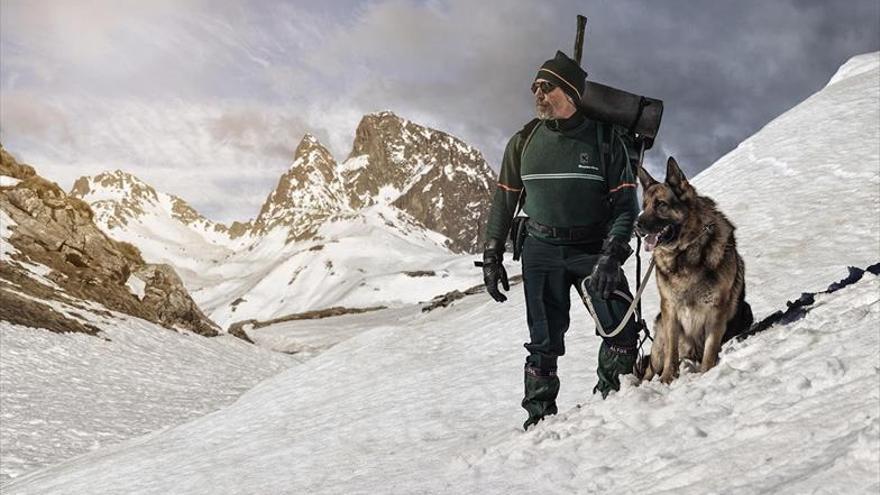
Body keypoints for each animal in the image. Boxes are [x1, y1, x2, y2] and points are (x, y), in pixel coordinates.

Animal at [636, 158, 752, 384]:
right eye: (643, 207)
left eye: (661, 204)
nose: (637, 225)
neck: (684, 251)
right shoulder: (670, 310)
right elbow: (671, 352)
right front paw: (667, 379)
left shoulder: (716, 308)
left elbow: (711, 347)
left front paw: (706, 373)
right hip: (660, 331)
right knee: (652, 367)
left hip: (745, 311)